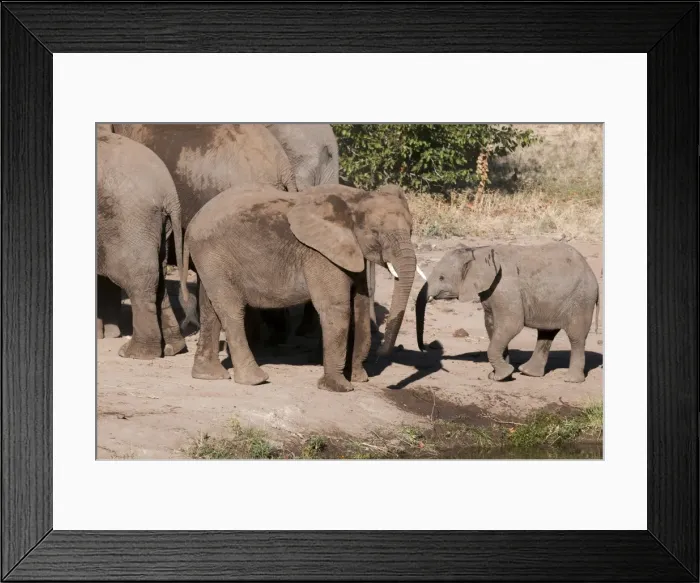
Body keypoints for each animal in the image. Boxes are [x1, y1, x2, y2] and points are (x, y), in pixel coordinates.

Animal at [97, 127, 188, 359]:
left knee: (140, 279)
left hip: (129, 221)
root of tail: (169, 193)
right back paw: (173, 348)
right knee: (159, 276)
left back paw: (135, 353)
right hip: (158, 225)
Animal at [178, 183, 419, 392]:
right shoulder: (320, 254)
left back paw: (209, 375)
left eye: (411, 230)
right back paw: (256, 380)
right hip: (213, 255)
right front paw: (339, 388)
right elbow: (336, 308)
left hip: (209, 260)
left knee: (210, 310)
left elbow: (361, 304)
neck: (356, 198)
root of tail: (192, 224)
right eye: (376, 233)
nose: (383, 352)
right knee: (231, 310)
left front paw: (359, 378)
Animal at [415, 242, 600, 383]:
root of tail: (592, 273)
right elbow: (491, 326)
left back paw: (571, 380)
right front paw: (501, 375)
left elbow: (511, 325)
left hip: (581, 299)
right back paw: (528, 372)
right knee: (546, 333)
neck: (478, 251)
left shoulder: (506, 287)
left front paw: (502, 376)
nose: (424, 348)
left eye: (441, 278)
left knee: (576, 337)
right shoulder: (490, 292)